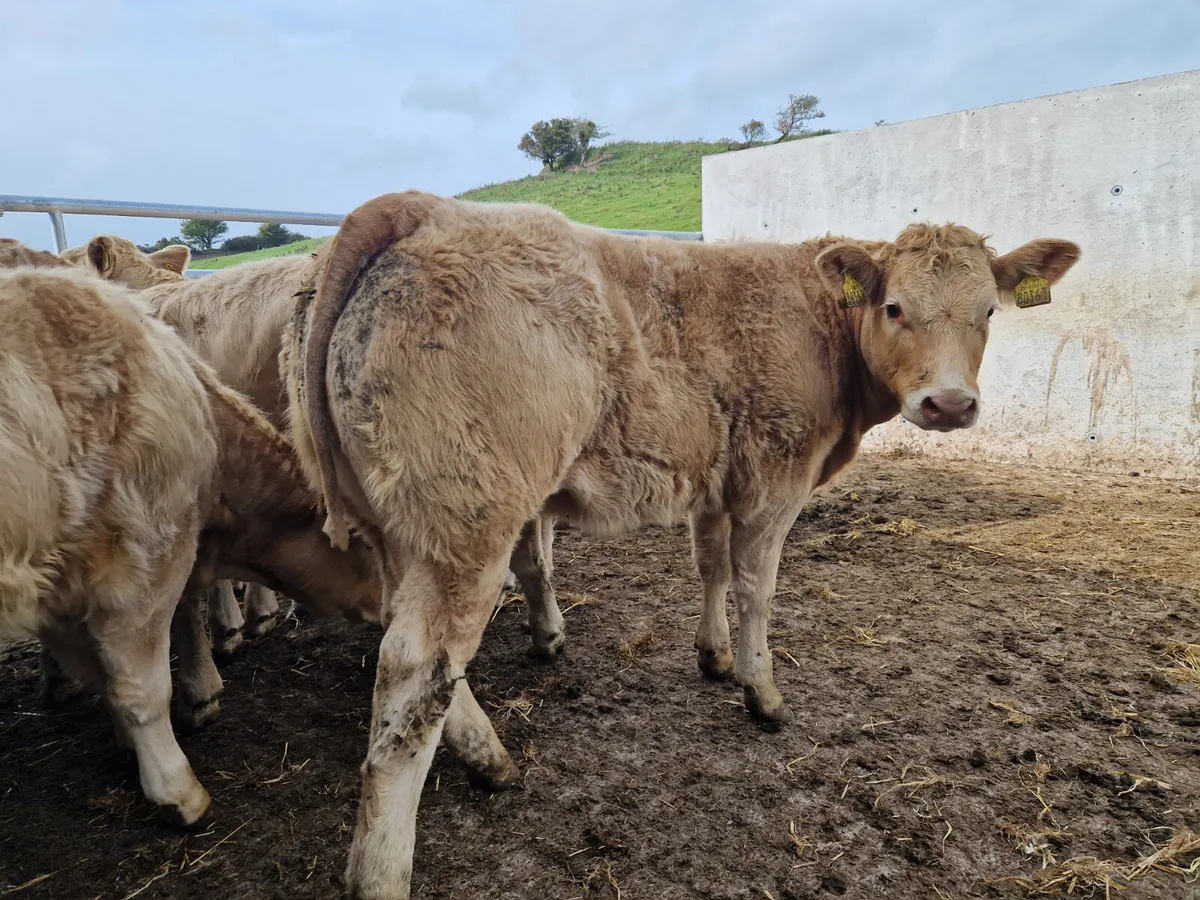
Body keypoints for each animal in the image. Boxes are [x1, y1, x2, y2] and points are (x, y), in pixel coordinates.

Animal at [285, 188, 1084, 897]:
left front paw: (713, 655)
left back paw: (491, 759)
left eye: (988, 312)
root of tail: (419, 208)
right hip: (468, 524)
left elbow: (710, 569)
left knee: (421, 660)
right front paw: (762, 692)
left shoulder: (718, 481)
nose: (948, 404)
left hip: (400, 532)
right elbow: (757, 587)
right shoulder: (774, 481)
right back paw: (382, 872)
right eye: (895, 307)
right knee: (414, 674)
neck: (819, 321)